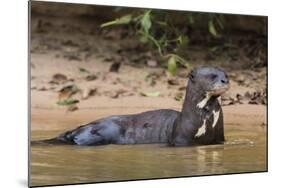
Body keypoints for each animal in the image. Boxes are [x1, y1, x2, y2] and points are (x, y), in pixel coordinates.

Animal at [32, 67, 229, 146]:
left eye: (225, 74)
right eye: (212, 76)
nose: (225, 80)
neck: (206, 121)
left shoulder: (220, 137)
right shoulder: (180, 139)